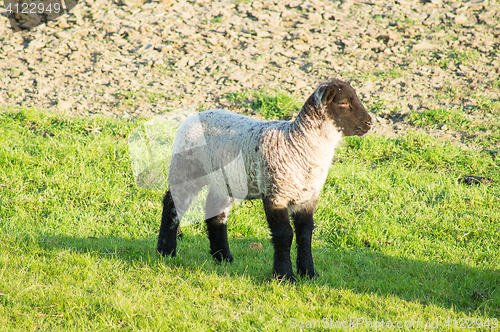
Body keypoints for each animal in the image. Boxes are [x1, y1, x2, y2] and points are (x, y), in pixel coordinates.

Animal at [156, 79, 372, 282]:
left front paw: (309, 274)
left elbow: (305, 234)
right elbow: (284, 235)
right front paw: (284, 276)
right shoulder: (276, 194)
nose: (369, 123)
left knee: (216, 212)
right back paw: (166, 251)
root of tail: (192, 116)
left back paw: (223, 257)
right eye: (343, 103)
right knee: (173, 204)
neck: (299, 144)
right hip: (186, 167)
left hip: (224, 180)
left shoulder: (307, 197)